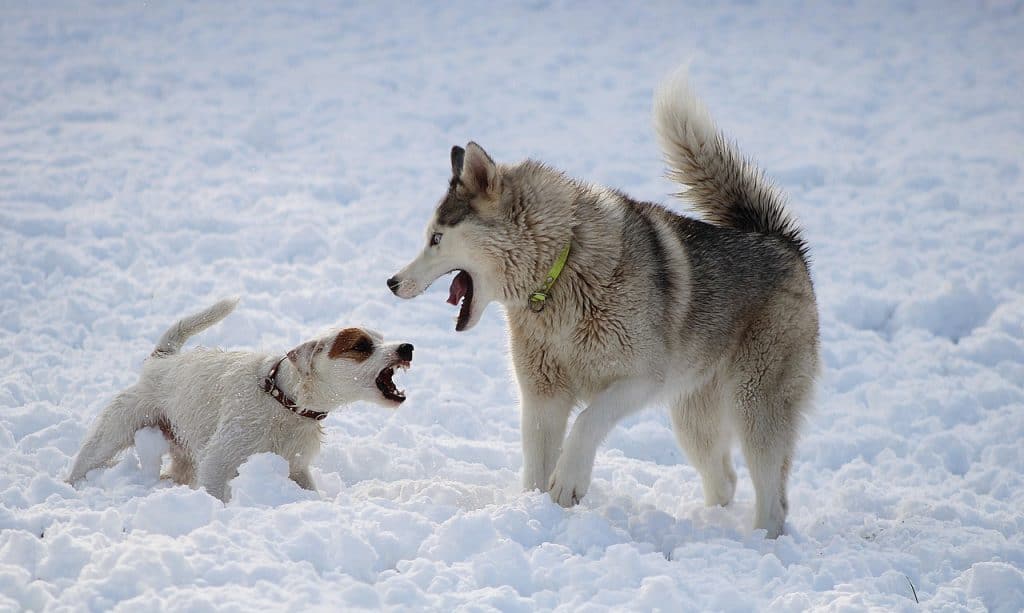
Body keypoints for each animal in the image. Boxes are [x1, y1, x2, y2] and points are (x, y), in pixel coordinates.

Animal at [65, 298, 411, 503]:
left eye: (381, 339)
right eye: (361, 346)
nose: (407, 347)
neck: (283, 400)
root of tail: (161, 361)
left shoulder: (296, 466)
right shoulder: (218, 462)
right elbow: (217, 492)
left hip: (183, 452)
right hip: (112, 435)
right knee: (85, 461)